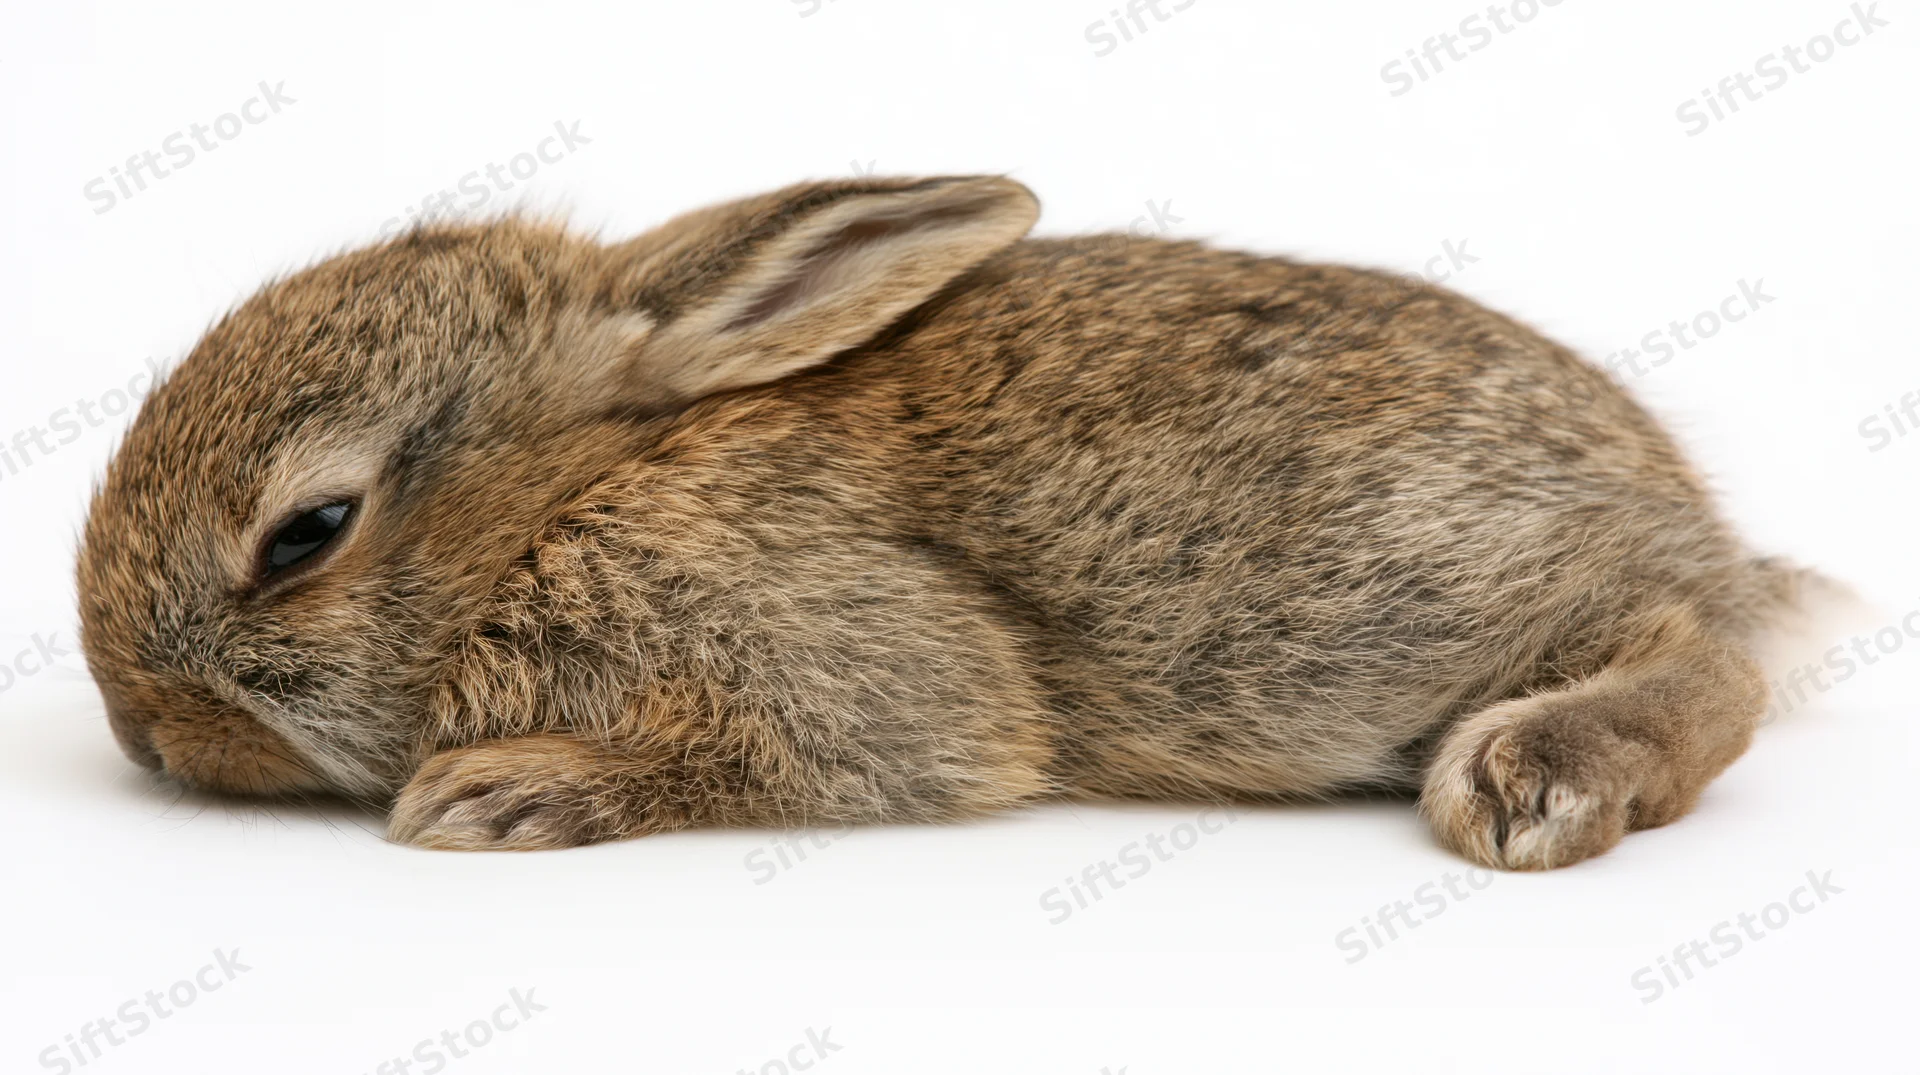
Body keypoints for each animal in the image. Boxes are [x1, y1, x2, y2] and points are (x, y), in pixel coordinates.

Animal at [76, 175, 1801, 869]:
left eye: (310, 530)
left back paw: (1539, 773)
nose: (141, 735)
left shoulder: (850, 668)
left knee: (1713, 663)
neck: (566, 506)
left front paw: (501, 794)